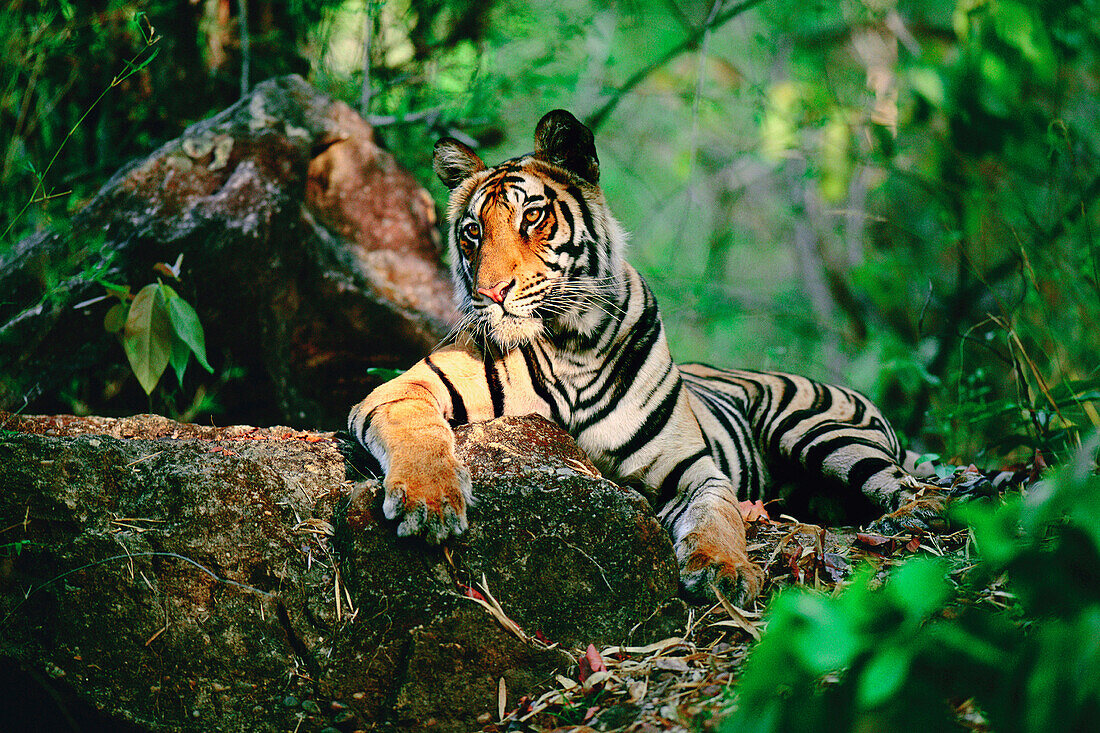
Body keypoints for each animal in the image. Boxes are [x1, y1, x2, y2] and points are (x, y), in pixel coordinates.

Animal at [347, 107, 941, 598]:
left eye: (532, 217)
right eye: (472, 232)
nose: (491, 293)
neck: (571, 342)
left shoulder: (691, 468)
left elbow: (719, 515)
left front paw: (725, 569)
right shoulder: (403, 388)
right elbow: (417, 430)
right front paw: (429, 502)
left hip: (818, 429)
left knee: (900, 481)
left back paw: (916, 514)